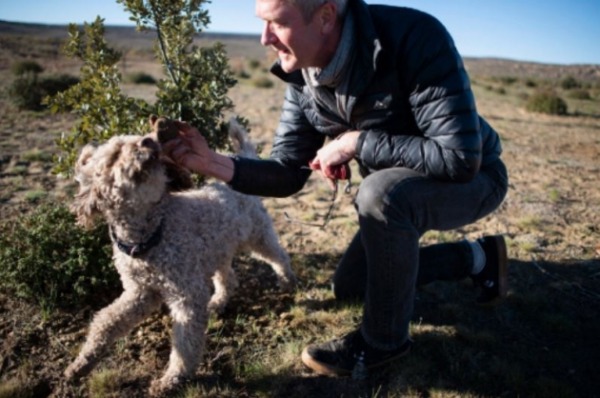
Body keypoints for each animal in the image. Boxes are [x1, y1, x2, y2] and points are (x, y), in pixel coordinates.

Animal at [64, 118, 296, 394]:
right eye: (115, 155)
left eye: (137, 140)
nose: (148, 141)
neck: (149, 236)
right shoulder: (140, 292)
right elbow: (106, 322)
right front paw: (81, 363)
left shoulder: (187, 295)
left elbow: (185, 344)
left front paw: (173, 379)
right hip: (217, 251)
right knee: (228, 278)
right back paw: (218, 302)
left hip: (258, 236)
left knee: (278, 255)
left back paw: (287, 280)